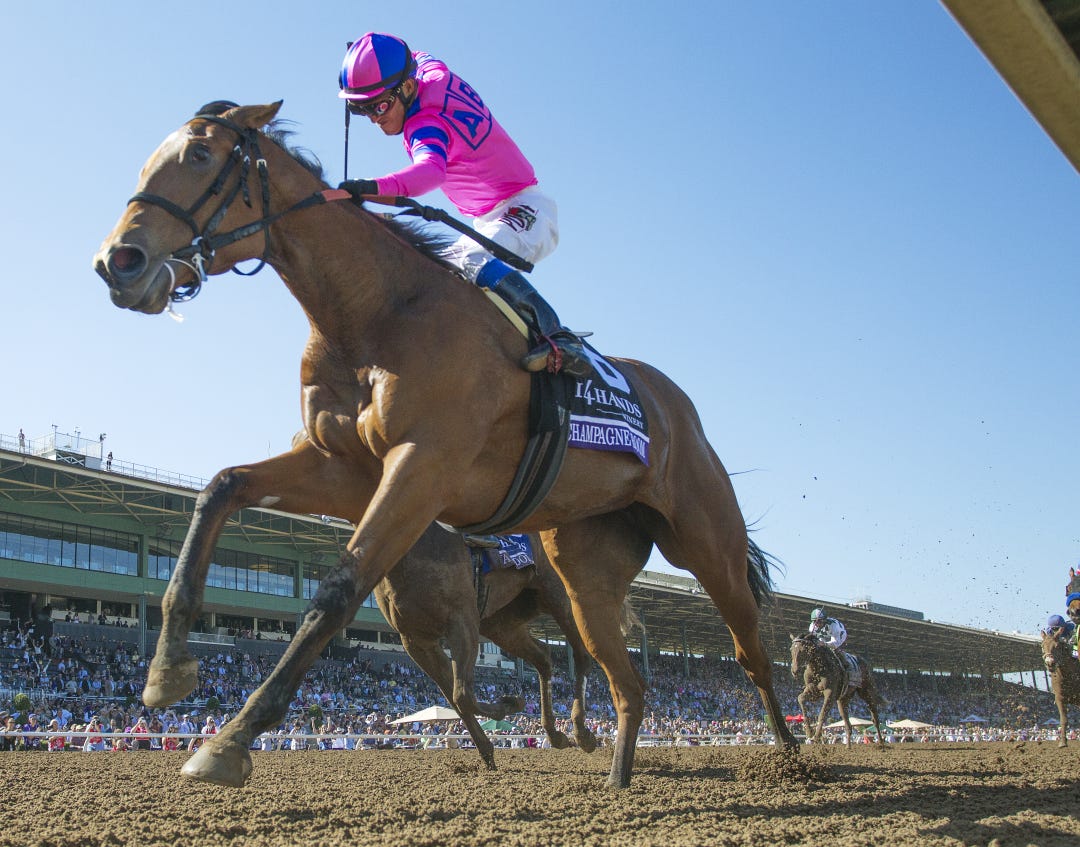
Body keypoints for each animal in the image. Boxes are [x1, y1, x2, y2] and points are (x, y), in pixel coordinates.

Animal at [375, 524, 598, 766]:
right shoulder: (416, 640)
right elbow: (454, 697)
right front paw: (488, 745)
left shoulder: (462, 620)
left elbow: (461, 694)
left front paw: (510, 704)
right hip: (502, 621)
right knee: (544, 656)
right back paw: (555, 734)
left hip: (558, 595)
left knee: (582, 656)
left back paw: (582, 733)